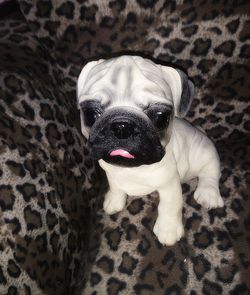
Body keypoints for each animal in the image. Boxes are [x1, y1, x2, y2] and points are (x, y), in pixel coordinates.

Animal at [76, 56, 225, 247]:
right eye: (90, 113)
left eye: (161, 117)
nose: (122, 126)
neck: (132, 169)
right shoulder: (111, 175)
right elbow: (116, 188)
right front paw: (114, 200)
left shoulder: (170, 185)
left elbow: (169, 206)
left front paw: (168, 229)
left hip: (206, 152)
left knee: (210, 173)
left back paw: (208, 194)